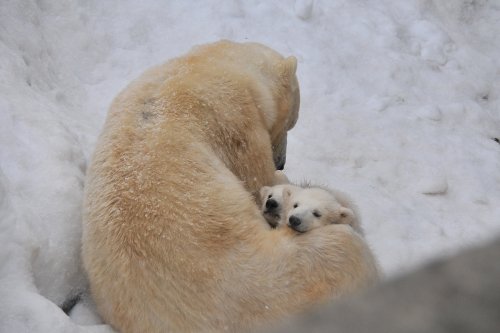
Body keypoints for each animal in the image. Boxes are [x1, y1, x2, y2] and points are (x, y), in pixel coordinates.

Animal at [83, 40, 378, 332]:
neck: (205, 64)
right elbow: (256, 176)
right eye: (290, 122)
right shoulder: (236, 119)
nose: (281, 162)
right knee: (344, 249)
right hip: (278, 281)